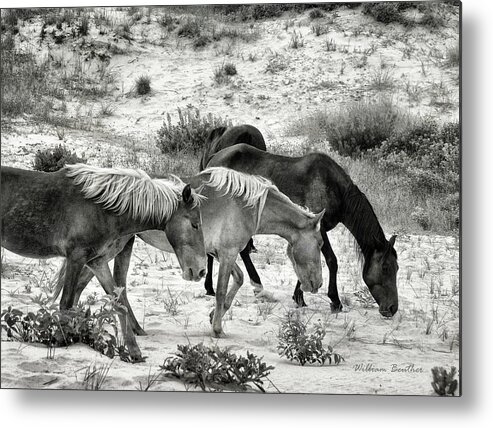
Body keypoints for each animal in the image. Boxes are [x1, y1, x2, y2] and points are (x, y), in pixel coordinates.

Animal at [53, 167, 324, 338]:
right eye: (321, 243)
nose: (317, 284)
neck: (246, 205)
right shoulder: (227, 253)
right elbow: (222, 289)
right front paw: (217, 329)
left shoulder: (219, 253)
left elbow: (237, 281)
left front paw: (215, 314)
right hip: (110, 250)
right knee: (86, 284)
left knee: (89, 284)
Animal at [206, 144, 398, 318]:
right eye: (385, 268)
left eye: (397, 268)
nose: (392, 308)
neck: (334, 188)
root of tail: (214, 158)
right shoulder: (320, 229)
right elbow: (331, 261)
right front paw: (334, 300)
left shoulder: (309, 231)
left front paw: (299, 296)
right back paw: (212, 287)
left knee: (243, 251)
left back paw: (255, 284)